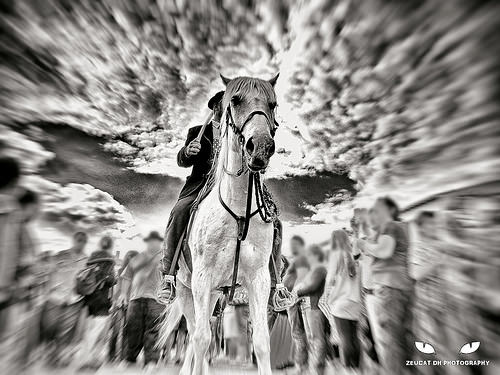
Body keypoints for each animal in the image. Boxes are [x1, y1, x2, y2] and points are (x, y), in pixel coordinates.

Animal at [162, 74, 282, 375]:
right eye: (235, 100)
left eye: (273, 104)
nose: (260, 146)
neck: (238, 213)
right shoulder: (202, 279)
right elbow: (202, 338)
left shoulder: (259, 280)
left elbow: (261, 341)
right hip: (186, 290)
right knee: (194, 332)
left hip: (215, 294)